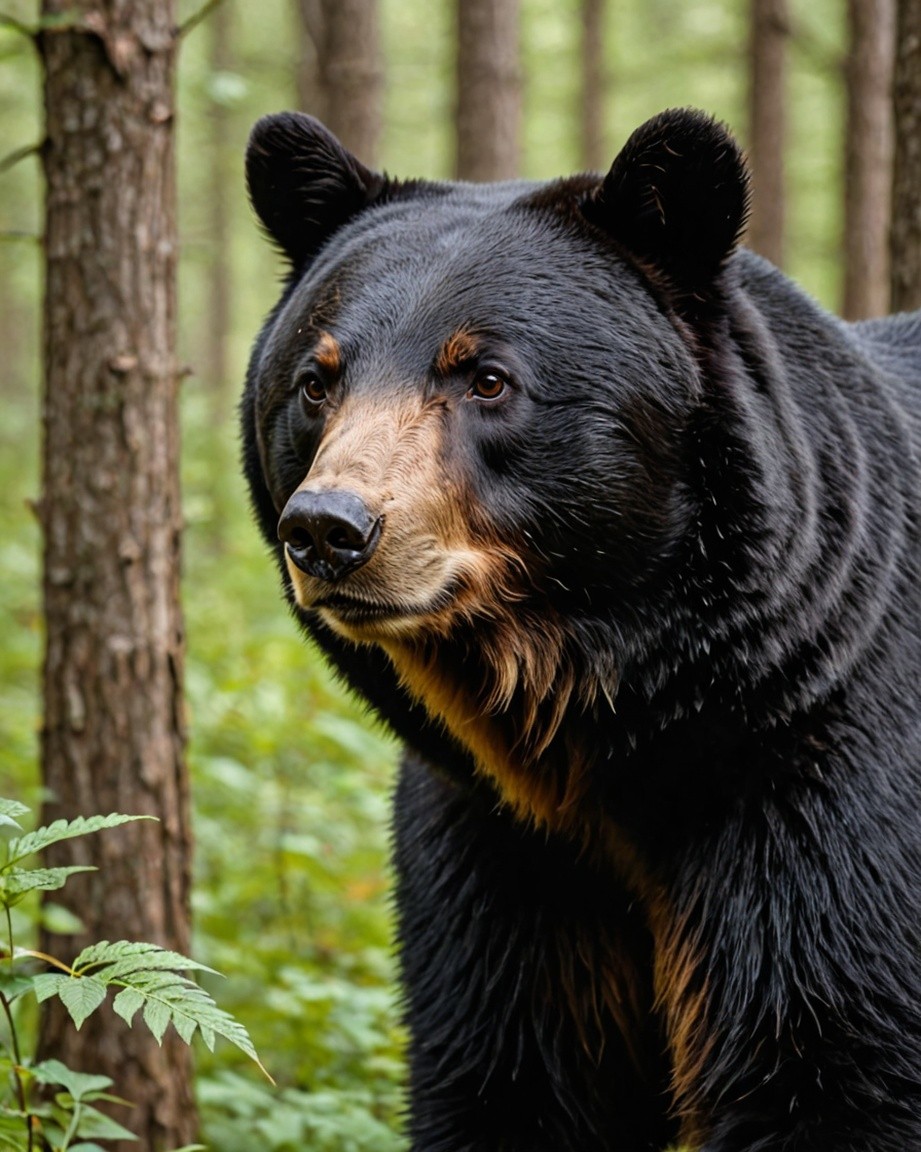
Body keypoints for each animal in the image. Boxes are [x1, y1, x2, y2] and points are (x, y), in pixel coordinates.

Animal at [241, 107, 921, 1152]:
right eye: (317, 380)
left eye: (485, 376)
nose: (329, 529)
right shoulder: (500, 849)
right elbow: (513, 1071)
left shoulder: (816, 786)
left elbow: (829, 1061)